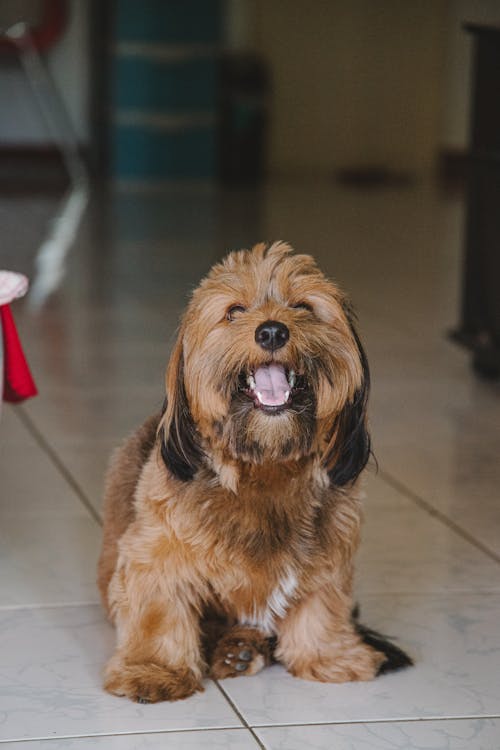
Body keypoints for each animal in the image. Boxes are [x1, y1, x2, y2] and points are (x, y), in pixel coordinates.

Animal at [96, 241, 410, 704]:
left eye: (303, 307)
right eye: (234, 311)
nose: (273, 332)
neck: (264, 465)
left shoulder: (332, 551)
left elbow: (322, 603)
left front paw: (330, 655)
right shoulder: (155, 551)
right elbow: (158, 608)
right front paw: (153, 670)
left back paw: (241, 648)